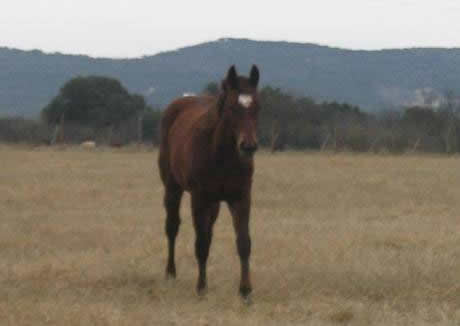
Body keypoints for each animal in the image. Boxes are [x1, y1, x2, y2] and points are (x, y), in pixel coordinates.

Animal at [157, 65, 258, 300]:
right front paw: (201, 288)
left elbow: (243, 242)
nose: (248, 146)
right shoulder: (199, 198)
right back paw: (170, 273)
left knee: (208, 232)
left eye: (258, 106)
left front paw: (245, 291)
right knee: (172, 227)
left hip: (214, 204)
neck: (221, 155)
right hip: (173, 188)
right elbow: (201, 243)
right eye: (231, 108)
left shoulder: (241, 197)